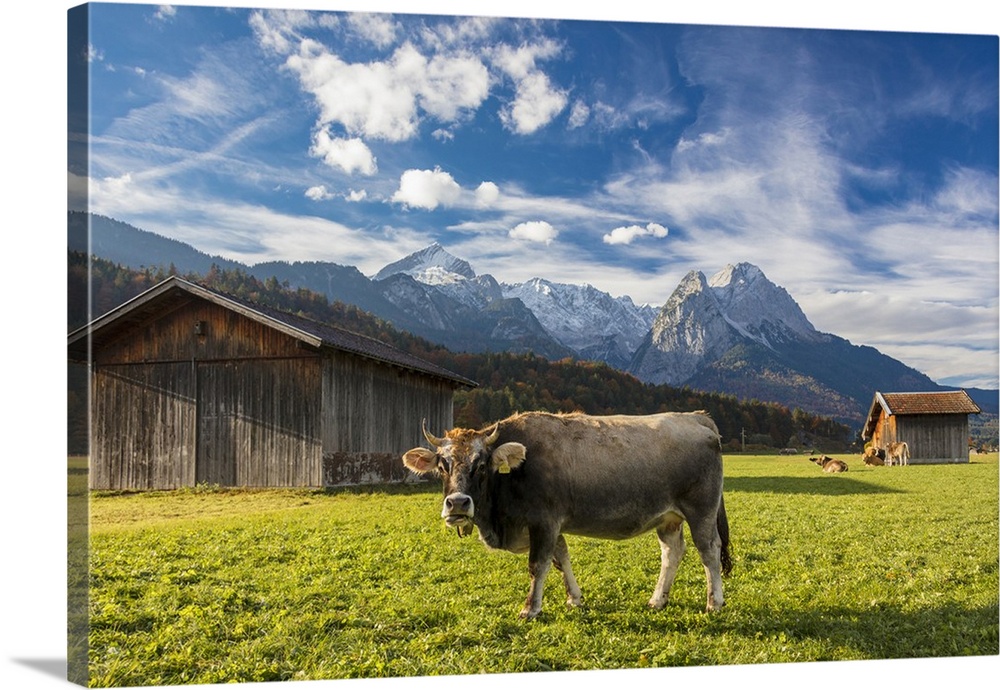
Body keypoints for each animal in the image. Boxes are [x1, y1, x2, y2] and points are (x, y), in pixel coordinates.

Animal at [400, 408, 736, 620]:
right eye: (442, 465)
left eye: (481, 465)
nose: (457, 503)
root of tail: (695, 417)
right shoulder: (552, 526)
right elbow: (561, 559)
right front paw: (574, 598)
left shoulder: (544, 521)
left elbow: (538, 565)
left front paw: (530, 609)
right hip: (668, 518)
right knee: (672, 553)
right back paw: (657, 600)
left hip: (701, 511)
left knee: (709, 551)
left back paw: (714, 603)